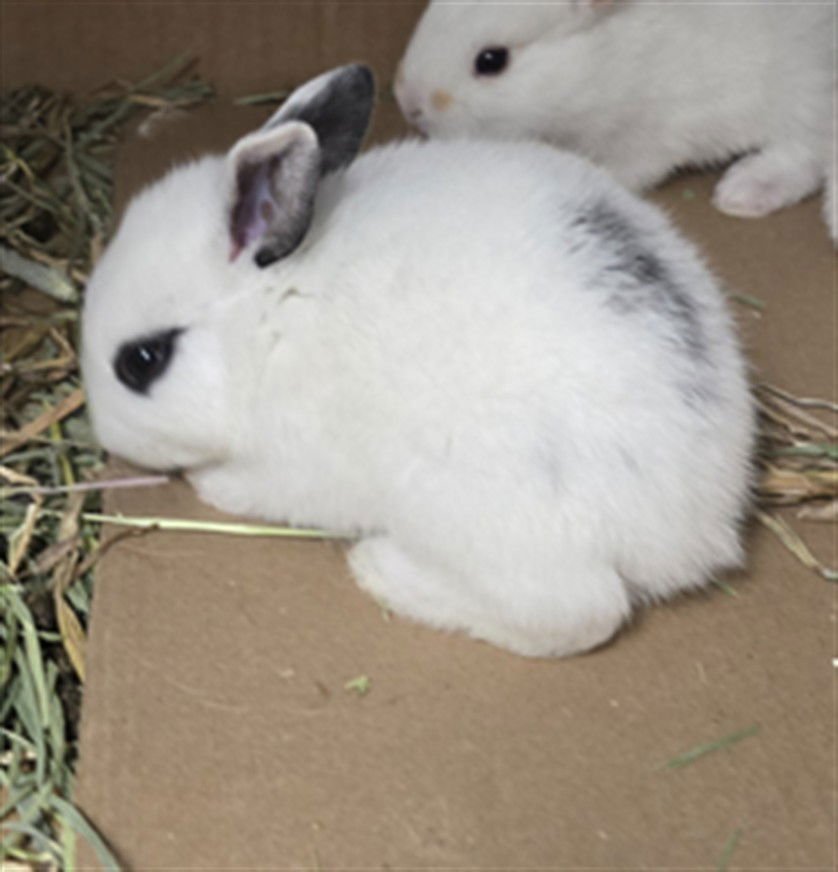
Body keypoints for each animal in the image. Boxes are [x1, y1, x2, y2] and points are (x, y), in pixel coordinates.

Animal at [82, 64, 755, 658]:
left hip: (474, 507)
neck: (269, 315)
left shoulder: (298, 463)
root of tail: (698, 524)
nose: (105, 434)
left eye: (143, 360)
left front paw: (211, 485)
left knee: (577, 614)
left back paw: (383, 569)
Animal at [395, 0, 836, 240]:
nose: (408, 103)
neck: (606, 61)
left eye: (492, 60)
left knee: (802, 158)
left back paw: (742, 192)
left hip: (803, 96)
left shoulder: (649, 138)